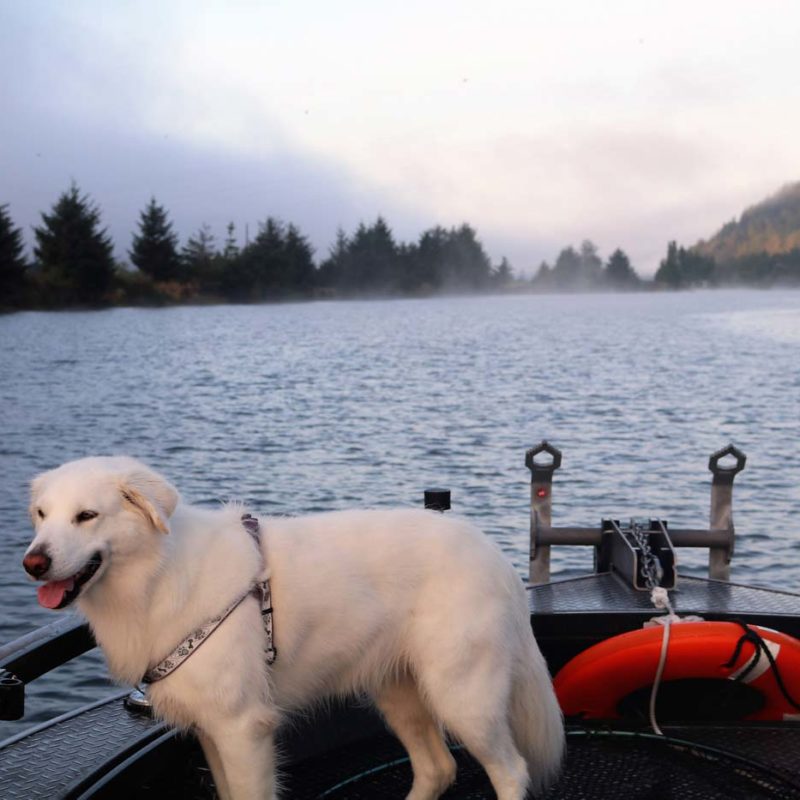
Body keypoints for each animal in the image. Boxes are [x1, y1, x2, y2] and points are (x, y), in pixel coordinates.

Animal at [23, 456, 564, 800]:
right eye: (42, 515)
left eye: (87, 516)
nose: (32, 563)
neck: (158, 574)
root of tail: (490, 550)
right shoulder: (213, 731)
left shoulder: (243, 729)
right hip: (398, 691)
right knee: (439, 768)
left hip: (463, 695)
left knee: (511, 772)